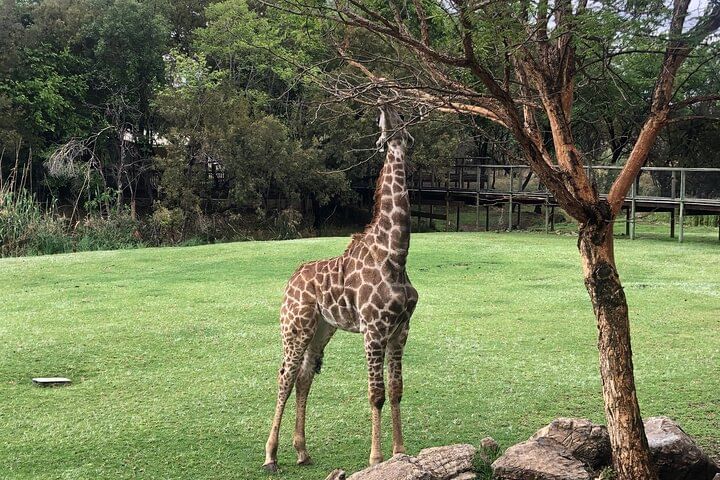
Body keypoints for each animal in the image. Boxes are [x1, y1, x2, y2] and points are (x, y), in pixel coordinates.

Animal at [262, 103, 419, 472]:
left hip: (322, 328)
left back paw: (302, 452)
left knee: (304, 376)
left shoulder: (401, 330)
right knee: (284, 376)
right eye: (391, 125)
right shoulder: (374, 330)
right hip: (295, 327)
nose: (387, 104)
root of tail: (291, 279)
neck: (396, 254)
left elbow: (396, 389)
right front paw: (376, 458)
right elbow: (376, 393)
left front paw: (400, 452)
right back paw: (271, 456)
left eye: (405, 131)